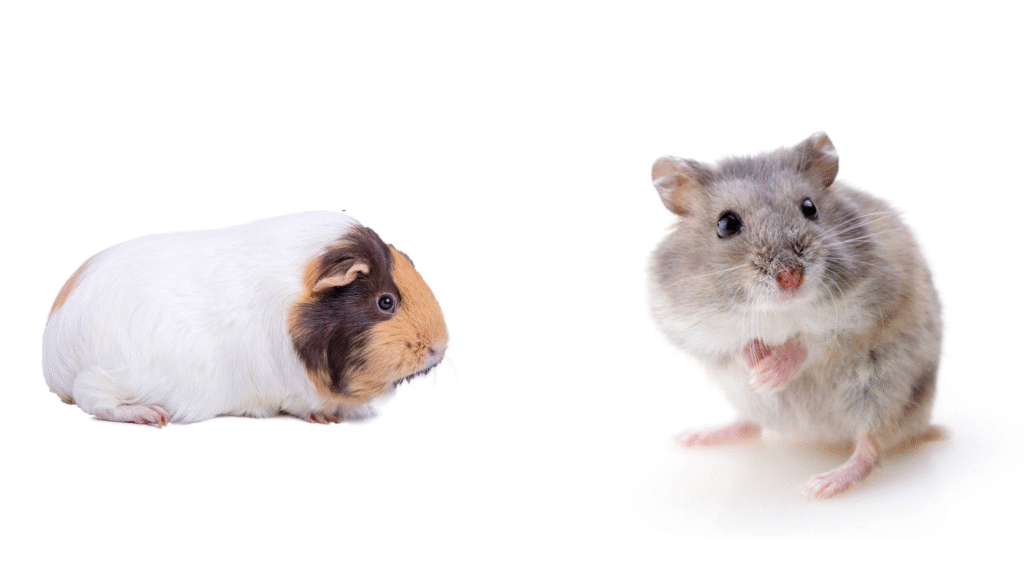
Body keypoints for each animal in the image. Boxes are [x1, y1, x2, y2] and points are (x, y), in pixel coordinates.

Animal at [42, 211, 449, 426]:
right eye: (386, 302)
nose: (440, 347)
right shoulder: (292, 389)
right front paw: (328, 418)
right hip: (109, 378)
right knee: (92, 399)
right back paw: (149, 416)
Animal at [647, 133, 942, 499]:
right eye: (726, 224)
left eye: (810, 208)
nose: (790, 277)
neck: (780, 309)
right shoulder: (690, 324)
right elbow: (736, 344)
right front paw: (757, 368)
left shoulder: (863, 314)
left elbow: (810, 342)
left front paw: (768, 374)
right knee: (752, 425)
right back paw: (695, 437)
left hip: (884, 394)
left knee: (869, 447)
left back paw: (822, 485)